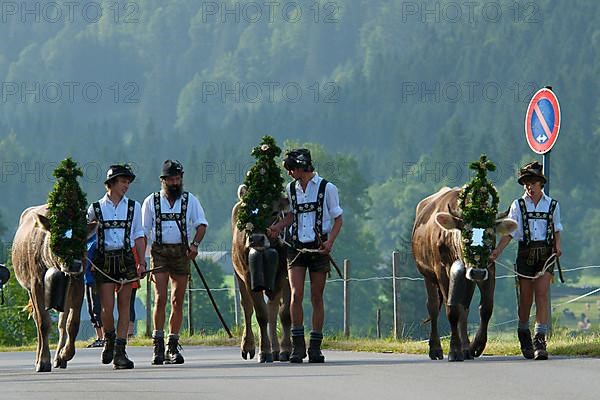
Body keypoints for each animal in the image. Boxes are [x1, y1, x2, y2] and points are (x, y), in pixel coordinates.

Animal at [11, 206, 96, 372]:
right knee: (38, 321)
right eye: (59, 241)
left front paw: (65, 354)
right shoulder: (36, 284)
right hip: (29, 289)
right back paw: (39, 358)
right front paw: (43, 361)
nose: (74, 264)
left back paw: (59, 358)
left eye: (82, 241)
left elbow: (72, 323)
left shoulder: (77, 283)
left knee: (62, 324)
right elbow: (43, 322)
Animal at [231, 184, 292, 362]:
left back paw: (277, 349)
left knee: (274, 309)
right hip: (238, 275)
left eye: (274, 213)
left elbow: (284, 313)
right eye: (247, 211)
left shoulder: (284, 275)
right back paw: (249, 346)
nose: (256, 239)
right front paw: (264, 351)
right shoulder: (248, 275)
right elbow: (261, 314)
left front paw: (286, 349)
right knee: (247, 307)